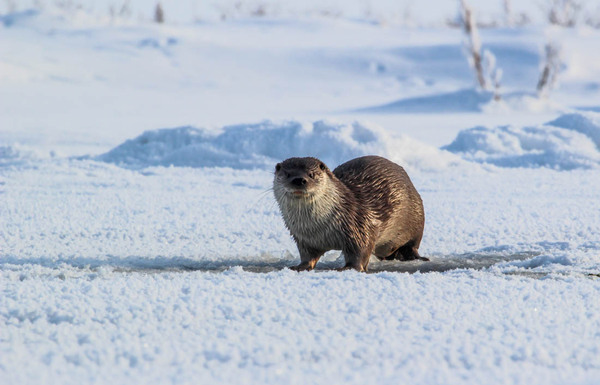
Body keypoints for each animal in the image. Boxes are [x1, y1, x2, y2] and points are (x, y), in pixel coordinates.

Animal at [274, 154, 426, 272]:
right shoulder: (304, 238)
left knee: (412, 245)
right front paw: (300, 266)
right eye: (287, 174)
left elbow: (360, 250)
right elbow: (307, 255)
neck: (318, 228)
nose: (299, 180)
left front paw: (349, 268)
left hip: (417, 217)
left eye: (311, 174)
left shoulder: (359, 225)